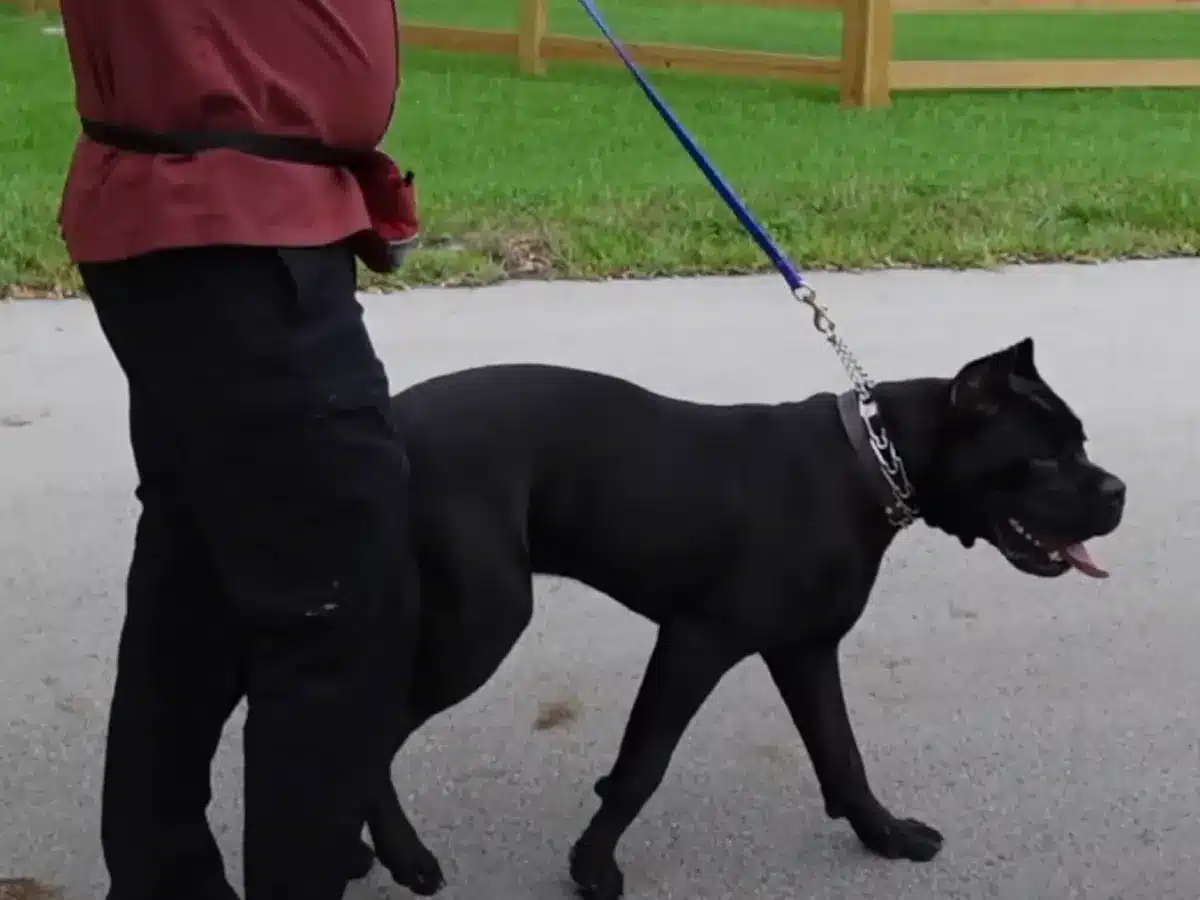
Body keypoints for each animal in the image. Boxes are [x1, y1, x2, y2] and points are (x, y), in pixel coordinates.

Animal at [348, 338, 1123, 900]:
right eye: (1044, 458)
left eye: (1083, 442)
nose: (1118, 490)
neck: (871, 463)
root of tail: (392, 427)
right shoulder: (698, 639)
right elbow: (642, 764)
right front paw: (591, 866)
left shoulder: (806, 649)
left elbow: (841, 753)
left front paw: (885, 835)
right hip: (483, 621)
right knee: (373, 732)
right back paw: (405, 856)